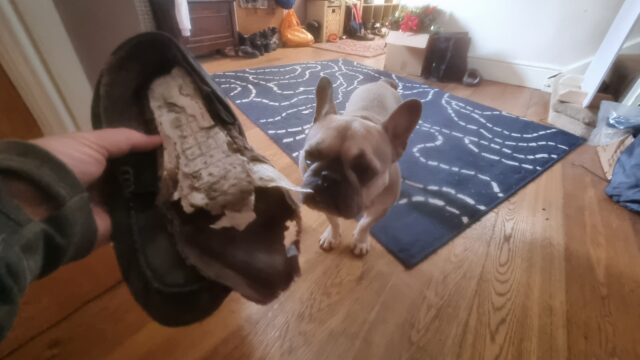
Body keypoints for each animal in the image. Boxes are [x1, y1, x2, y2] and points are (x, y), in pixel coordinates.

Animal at [298, 76, 422, 256]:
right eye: (309, 158)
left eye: (365, 170)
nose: (328, 176)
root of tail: (382, 82)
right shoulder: (324, 205)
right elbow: (333, 220)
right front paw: (332, 236)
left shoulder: (381, 208)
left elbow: (365, 224)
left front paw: (360, 241)